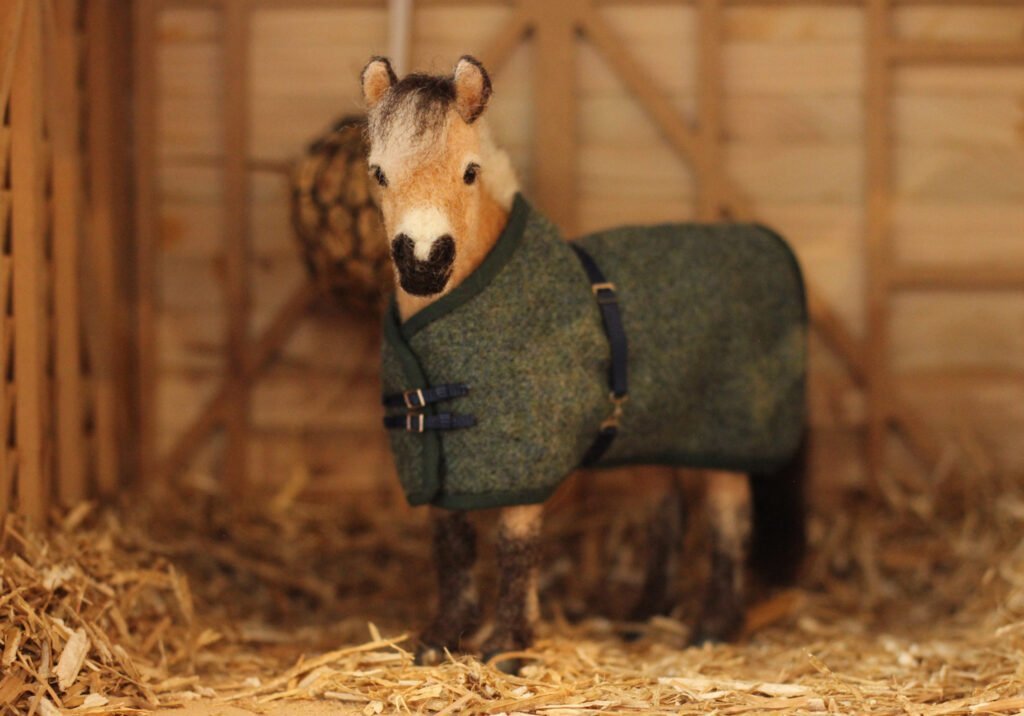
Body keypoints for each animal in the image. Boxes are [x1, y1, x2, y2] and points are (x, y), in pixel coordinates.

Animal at [360, 54, 806, 671]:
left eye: (470, 172)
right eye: (378, 173)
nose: (423, 263)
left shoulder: (521, 458)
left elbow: (515, 546)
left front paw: (506, 646)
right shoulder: (443, 457)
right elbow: (451, 545)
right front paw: (441, 637)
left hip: (730, 437)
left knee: (728, 522)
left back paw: (714, 627)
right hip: (648, 436)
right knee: (665, 514)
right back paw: (642, 615)